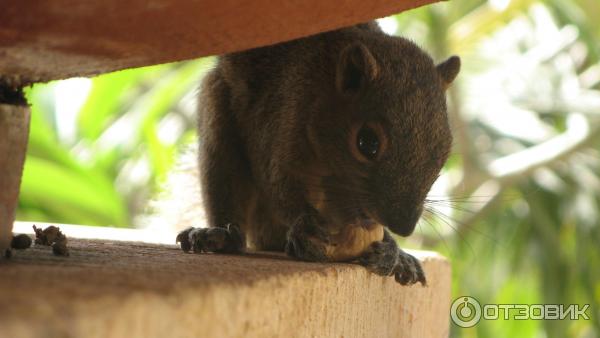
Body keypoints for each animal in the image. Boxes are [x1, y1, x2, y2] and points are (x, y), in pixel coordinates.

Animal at [175, 21, 460, 286]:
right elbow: (279, 188)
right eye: (367, 142)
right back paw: (218, 236)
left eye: (445, 149)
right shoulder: (278, 125)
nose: (404, 227)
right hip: (219, 126)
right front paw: (306, 227)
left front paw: (392, 249)